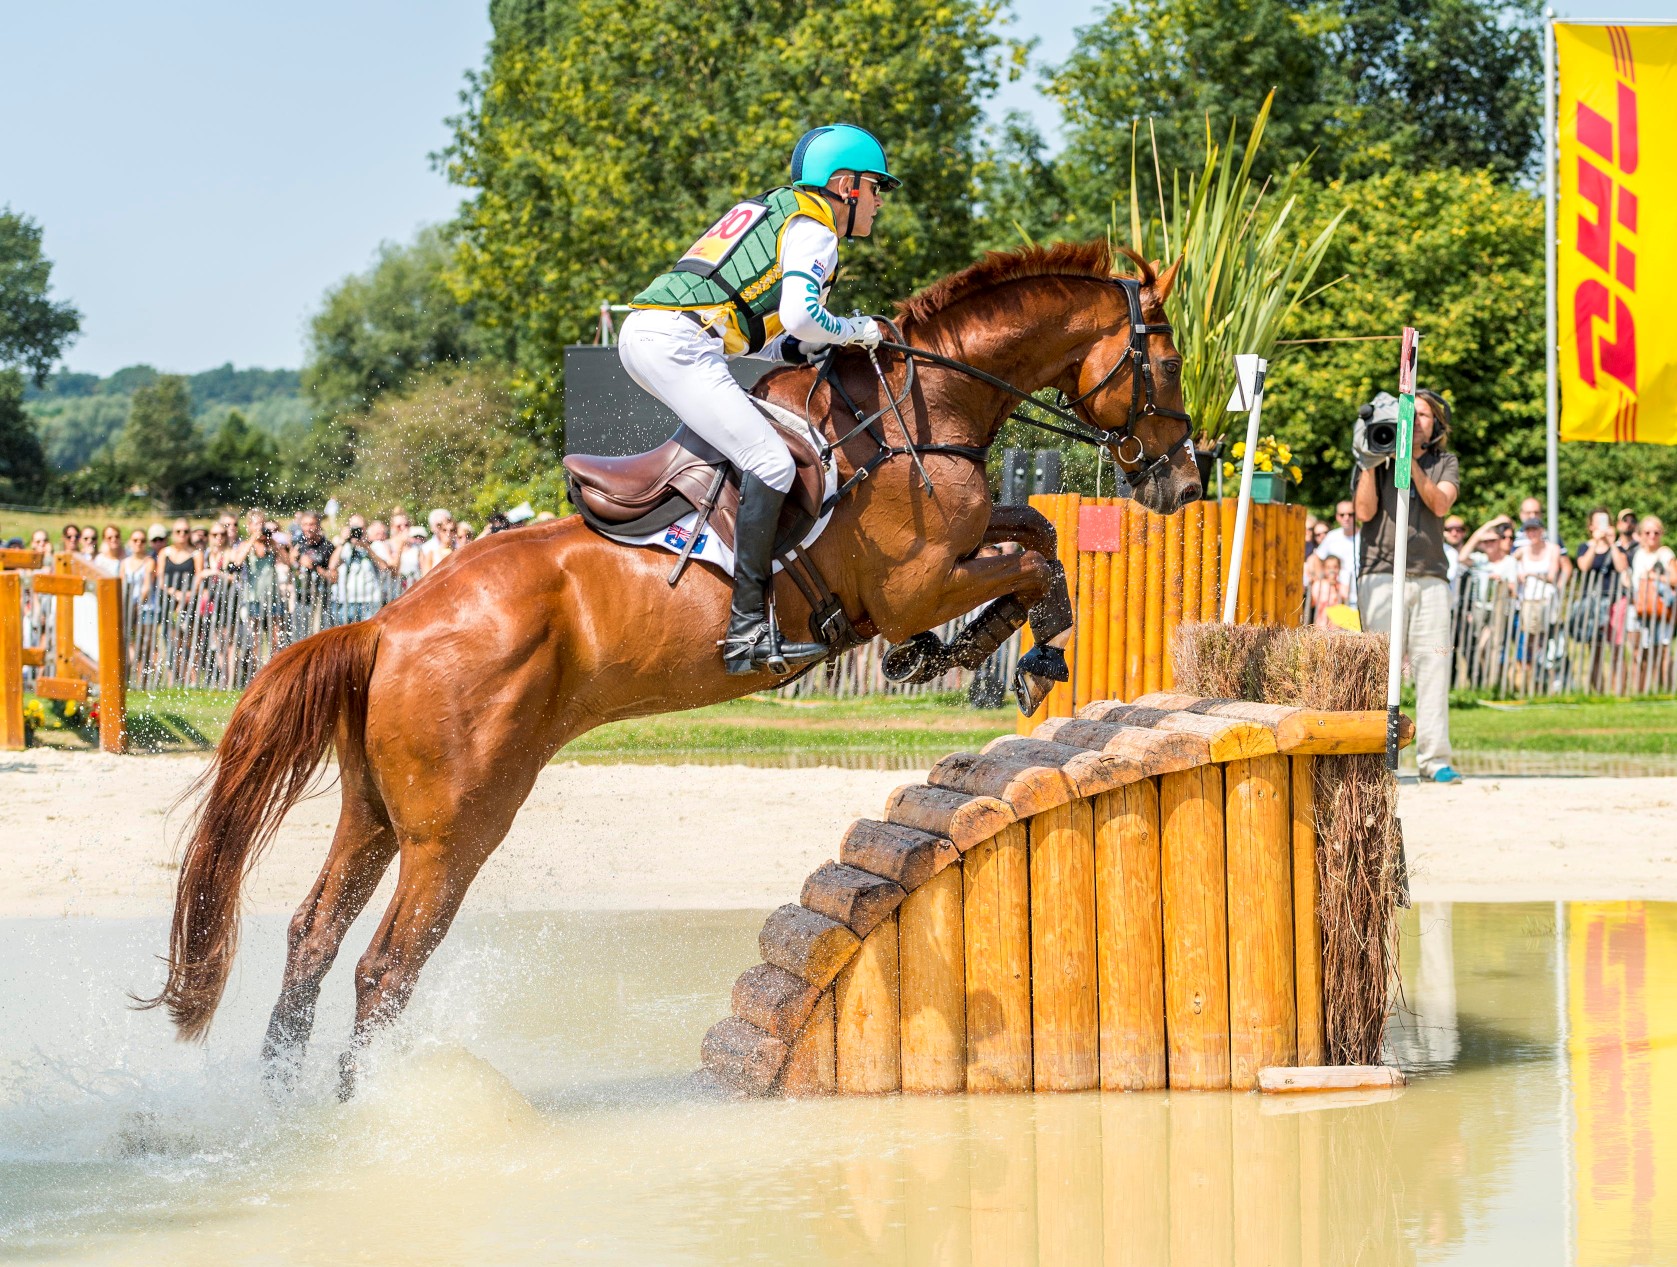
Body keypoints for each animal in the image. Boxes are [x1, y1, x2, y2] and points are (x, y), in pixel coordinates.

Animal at [140, 239, 1199, 1091]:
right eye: (1169, 357)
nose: (1183, 480)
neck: (917, 411)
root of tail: (387, 625)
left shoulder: (958, 550)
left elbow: (1035, 533)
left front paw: (985, 644)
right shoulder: (918, 579)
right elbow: (1034, 559)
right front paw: (1018, 646)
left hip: (374, 812)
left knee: (313, 939)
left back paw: (282, 1107)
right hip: (455, 827)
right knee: (384, 968)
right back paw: (360, 1118)